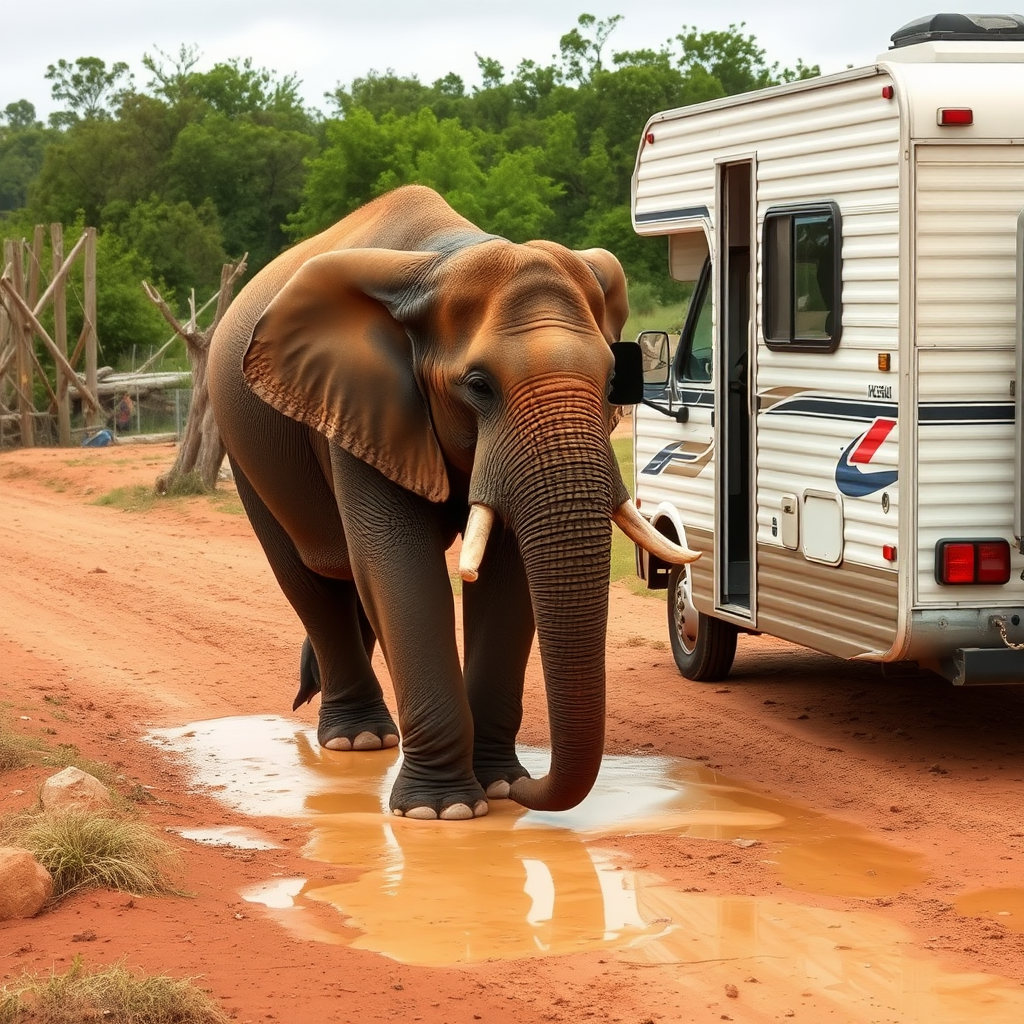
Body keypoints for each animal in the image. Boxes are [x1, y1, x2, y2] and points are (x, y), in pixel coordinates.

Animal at [210, 184, 700, 819]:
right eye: (479, 387)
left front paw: (496, 783)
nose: (526, 789)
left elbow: (507, 577)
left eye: (615, 377)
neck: (446, 257)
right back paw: (359, 739)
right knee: (311, 580)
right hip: (246, 445)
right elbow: (399, 565)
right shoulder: (363, 404)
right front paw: (442, 811)